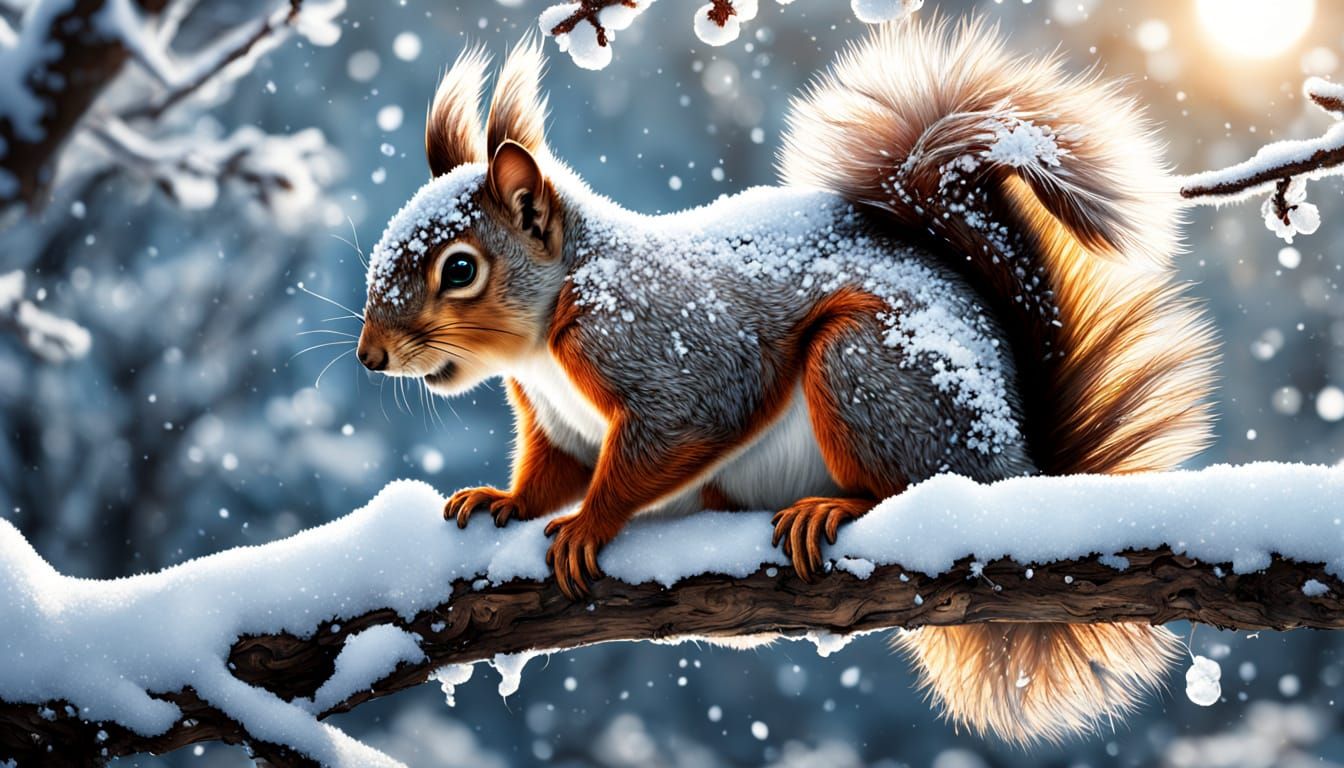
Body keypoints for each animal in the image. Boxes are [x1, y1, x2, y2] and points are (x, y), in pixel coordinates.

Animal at [357, 17, 1216, 745]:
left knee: (916, 484)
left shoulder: (671, 351)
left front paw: (587, 526)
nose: (371, 356)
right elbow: (552, 471)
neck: (549, 328)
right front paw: (502, 502)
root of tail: (1019, 463)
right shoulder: (555, 421)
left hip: (865, 371)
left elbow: (673, 433)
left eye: (459, 269)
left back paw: (835, 508)